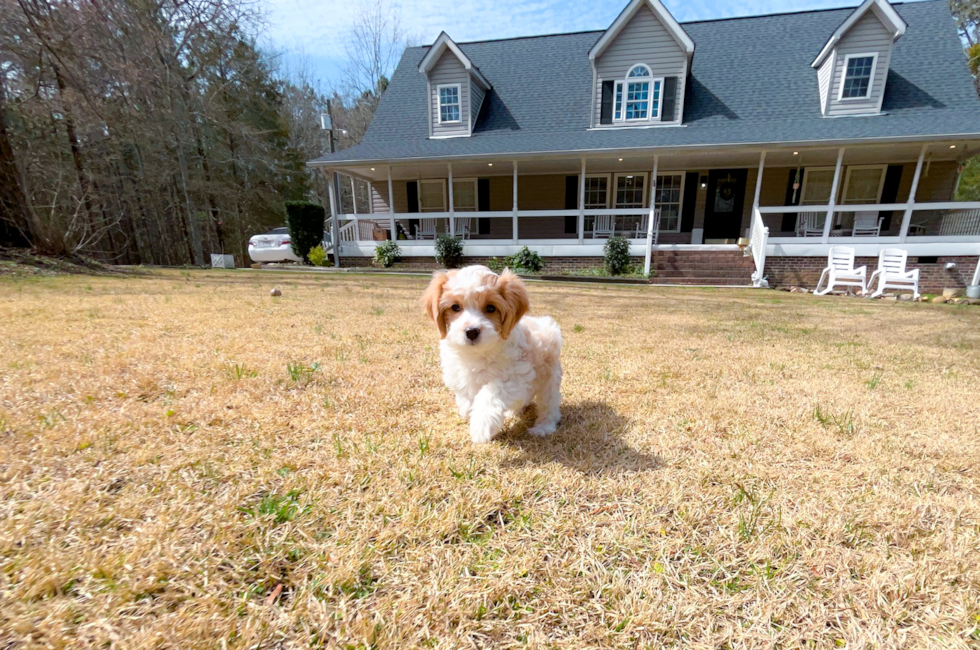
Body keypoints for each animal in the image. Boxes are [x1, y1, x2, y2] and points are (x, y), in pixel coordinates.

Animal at [418, 264, 564, 440]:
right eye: (455, 307)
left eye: (490, 308)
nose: (471, 331)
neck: (478, 353)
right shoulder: (460, 375)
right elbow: (465, 396)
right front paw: (467, 410)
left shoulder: (517, 376)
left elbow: (491, 392)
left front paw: (481, 425)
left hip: (549, 380)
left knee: (549, 405)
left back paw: (543, 427)